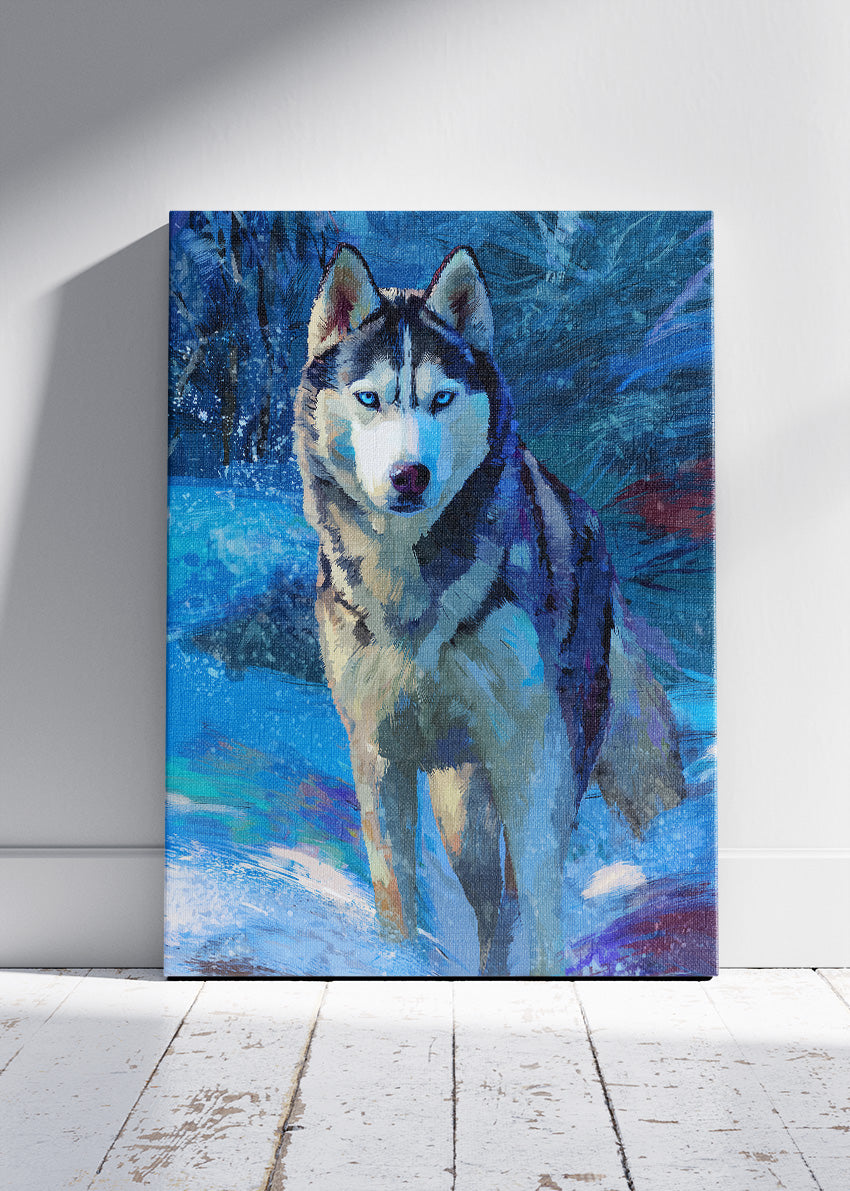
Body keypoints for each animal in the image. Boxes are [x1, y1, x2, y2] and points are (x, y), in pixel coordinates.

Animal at [294, 243, 685, 975]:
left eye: (441, 398)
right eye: (369, 398)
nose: (409, 475)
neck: (413, 590)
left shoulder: (529, 751)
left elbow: (538, 894)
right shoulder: (379, 753)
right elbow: (397, 897)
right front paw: (400, 965)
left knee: (515, 891)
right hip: (460, 806)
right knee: (490, 904)